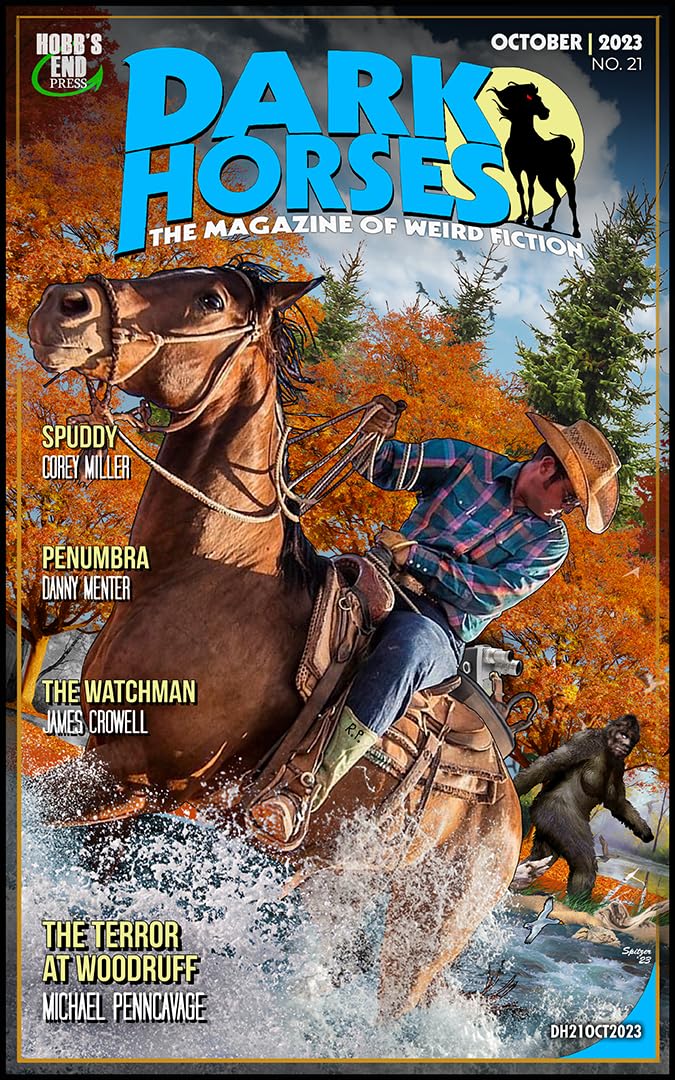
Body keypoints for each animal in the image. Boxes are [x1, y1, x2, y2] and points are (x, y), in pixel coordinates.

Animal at [27, 258, 522, 1018]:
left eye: (210, 299)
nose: (64, 304)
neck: (204, 572)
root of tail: (511, 805)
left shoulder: (146, 782)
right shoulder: (111, 771)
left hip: (424, 935)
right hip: (336, 886)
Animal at [490, 82, 581, 238]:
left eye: (539, 98)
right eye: (529, 97)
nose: (546, 112)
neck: (522, 139)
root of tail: (567, 150)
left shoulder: (531, 170)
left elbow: (530, 190)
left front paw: (530, 219)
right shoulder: (514, 167)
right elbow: (520, 189)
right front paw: (521, 217)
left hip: (566, 178)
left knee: (572, 202)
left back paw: (576, 231)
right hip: (547, 179)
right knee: (557, 198)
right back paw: (548, 224)